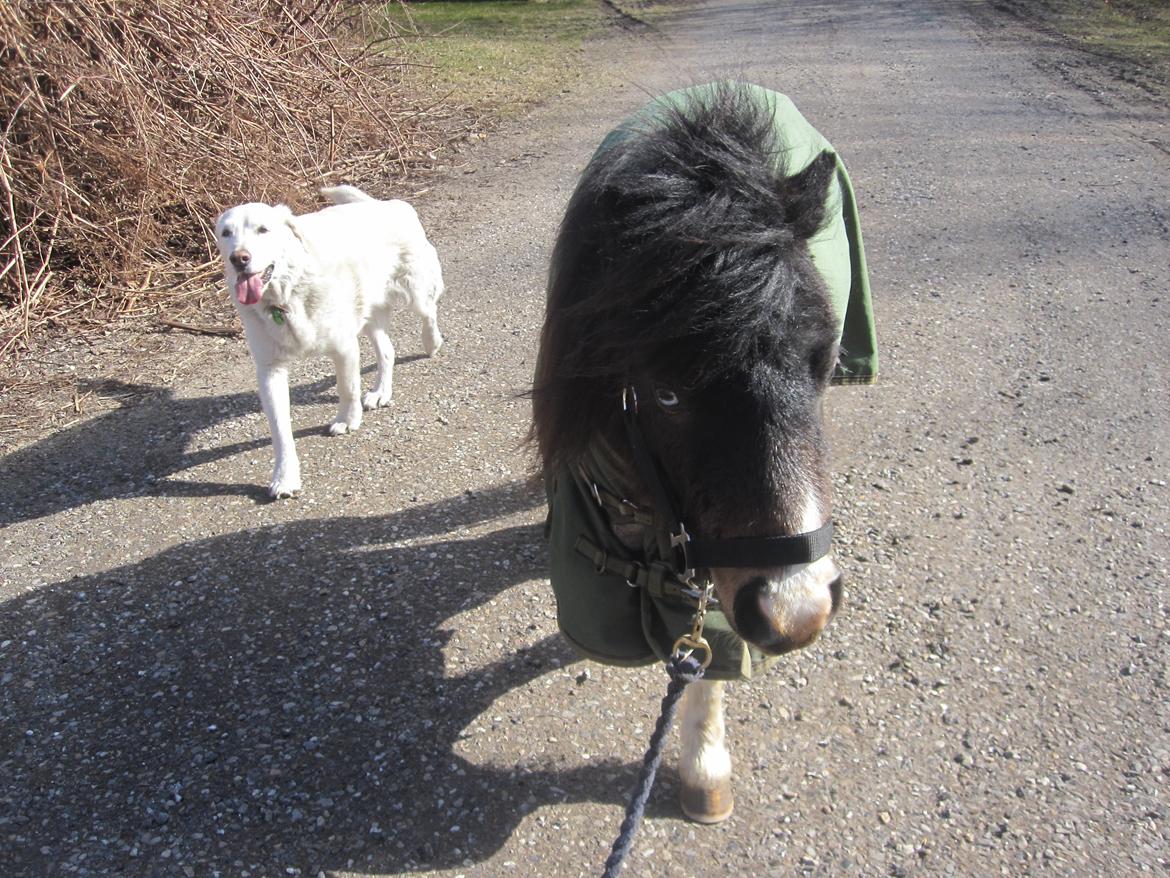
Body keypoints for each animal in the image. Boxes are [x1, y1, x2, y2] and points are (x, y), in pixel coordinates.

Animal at [215, 183, 442, 501]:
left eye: (263, 229)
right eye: (226, 232)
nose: (239, 258)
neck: (286, 296)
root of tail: (384, 203)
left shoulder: (344, 347)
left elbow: (347, 388)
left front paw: (348, 420)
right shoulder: (270, 370)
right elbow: (280, 430)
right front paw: (285, 476)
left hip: (415, 291)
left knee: (429, 311)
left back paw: (432, 342)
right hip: (369, 314)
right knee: (387, 351)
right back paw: (380, 392)